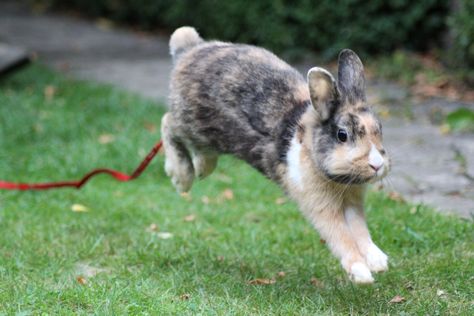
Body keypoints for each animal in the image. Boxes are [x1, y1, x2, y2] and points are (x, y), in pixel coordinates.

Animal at [161, 27, 390, 284]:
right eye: (342, 135)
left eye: (379, 128)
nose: (377, 165)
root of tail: (188, 49)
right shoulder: (321, 207)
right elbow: (341, 237)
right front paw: (361, 273)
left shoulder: (352, 203)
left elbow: (360, 231)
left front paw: (378, 261)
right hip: (190, 124)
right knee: (167, 123)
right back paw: (181, 176)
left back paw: (201, 168)